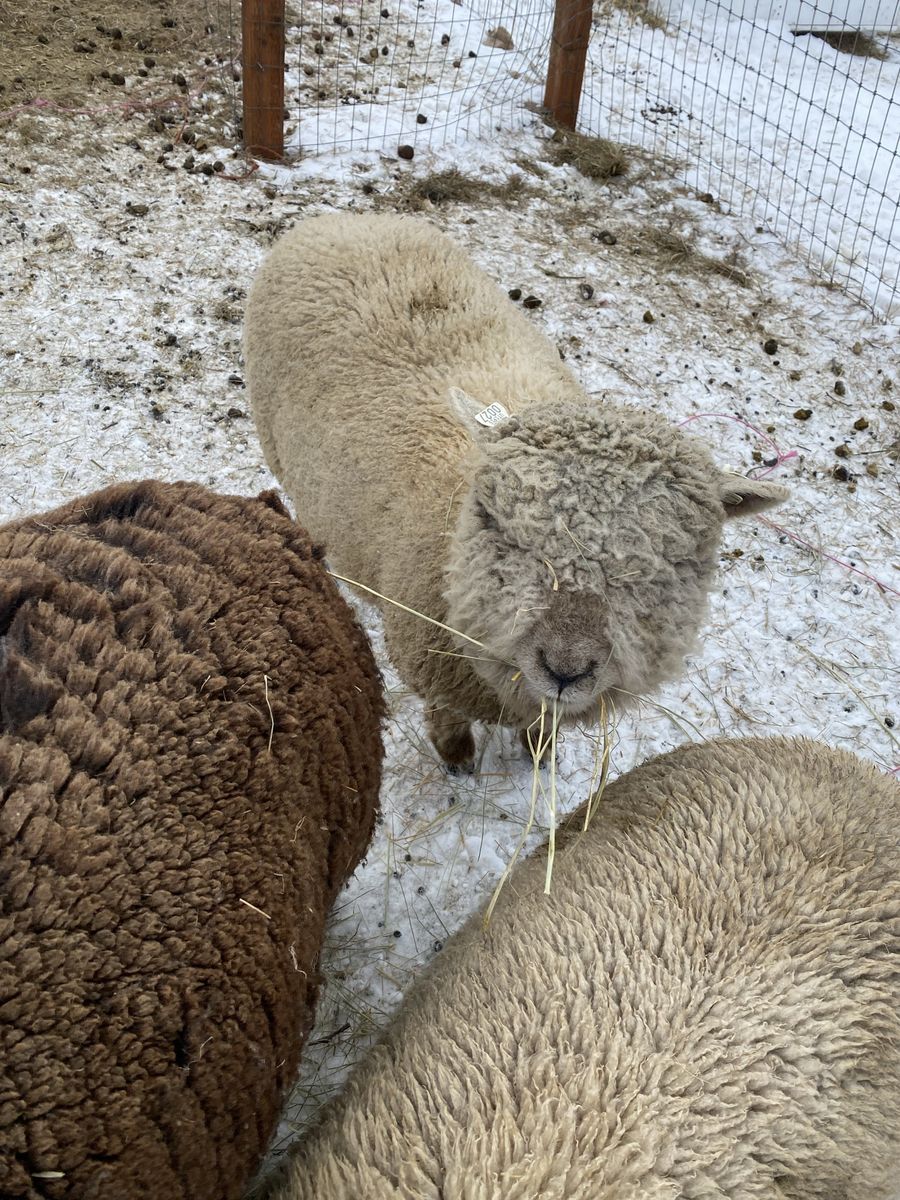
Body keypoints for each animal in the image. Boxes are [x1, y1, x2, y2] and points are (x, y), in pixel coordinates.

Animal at [243, 213, 788, 772]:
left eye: (668, 565)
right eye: (501, 531)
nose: (565, 669)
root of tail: (341, 219)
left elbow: (540, 728)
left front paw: (539, 754)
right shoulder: (436, 667)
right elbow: (447, 715)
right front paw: (457, 758)